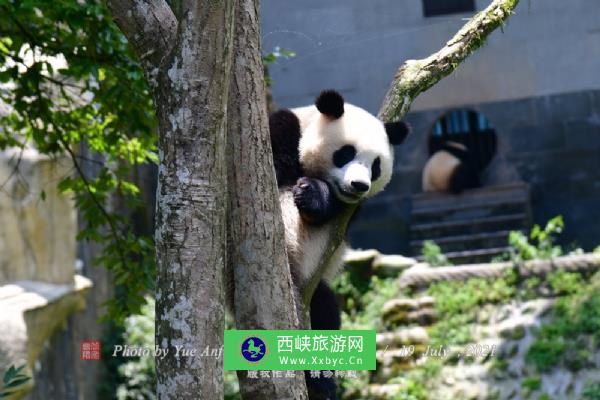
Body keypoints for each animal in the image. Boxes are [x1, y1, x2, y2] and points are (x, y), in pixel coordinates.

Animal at [270, 90, 410, 400]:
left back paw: (322, 381)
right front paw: (309, 191)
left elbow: (341, 214)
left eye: (376, 165)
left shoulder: (351, 209)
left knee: (326, 310)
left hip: (316, 292)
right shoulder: (279, 132)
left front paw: (316, 198)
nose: (358, 185)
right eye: (346, 153)